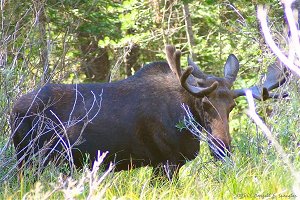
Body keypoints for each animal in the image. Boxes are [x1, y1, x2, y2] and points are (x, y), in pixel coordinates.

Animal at [9, 45, 286, 178]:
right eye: (204, 104)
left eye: (232, 107)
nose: (222, 149)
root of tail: (13, 110)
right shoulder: (166, 161)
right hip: (31, 159)